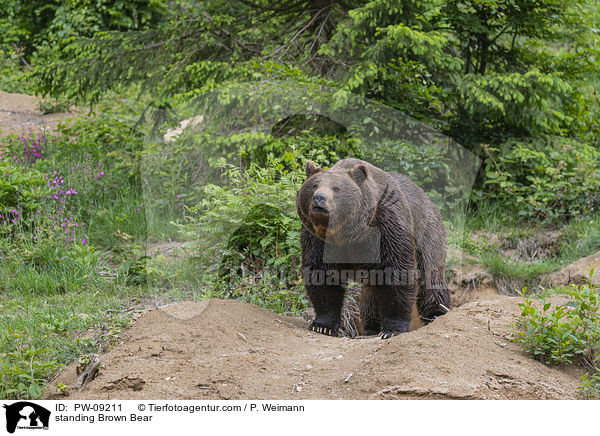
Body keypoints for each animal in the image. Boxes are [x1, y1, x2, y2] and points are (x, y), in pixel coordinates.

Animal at [296, 158, 450, 338]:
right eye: (314, 185)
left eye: (336, 188)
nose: (319, 198)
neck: (348, 232)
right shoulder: (318, 239)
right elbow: (322, 274)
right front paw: (322, 325)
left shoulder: (387, 228)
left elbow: (396, 271)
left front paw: (392, 329)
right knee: (369, 293)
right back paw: (371, 327)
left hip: (427, 233)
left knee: (431, 279)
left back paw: (437, 313)